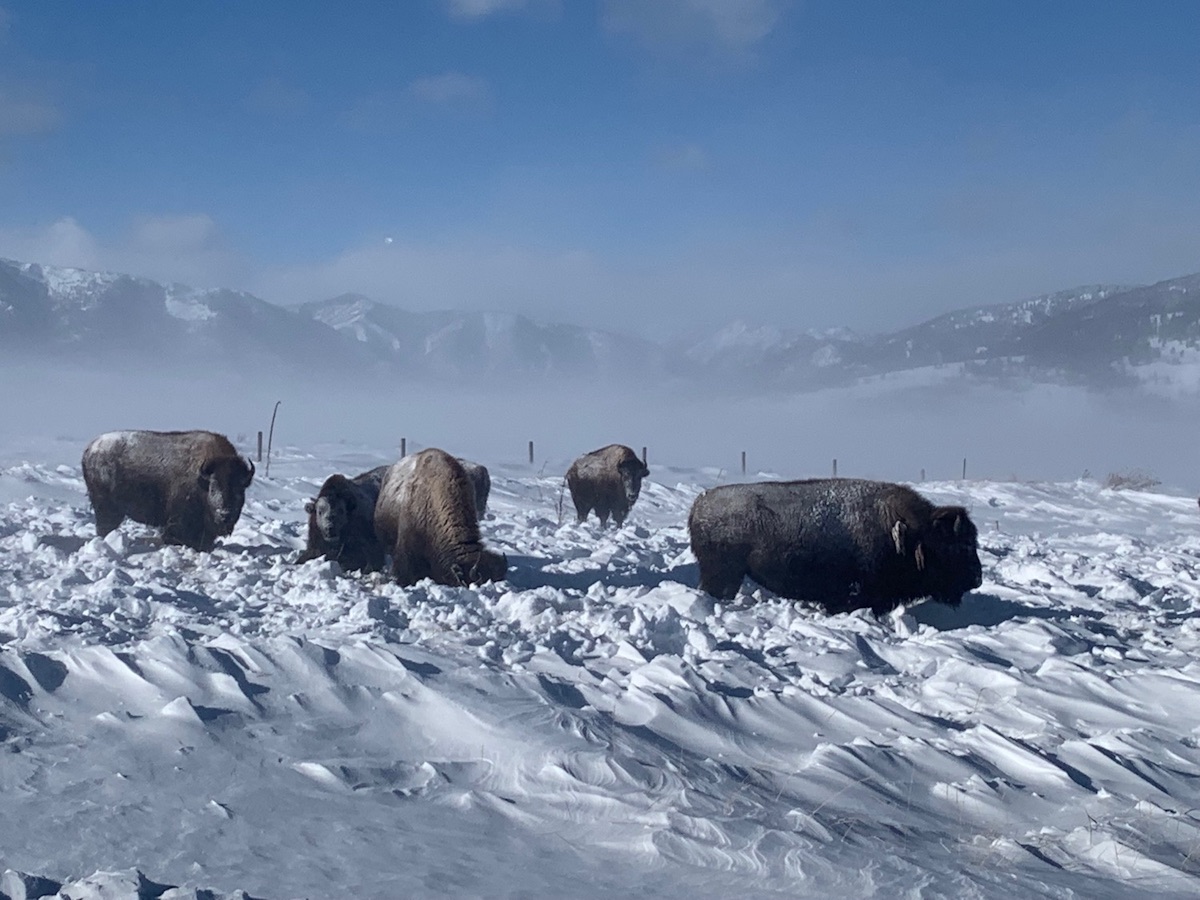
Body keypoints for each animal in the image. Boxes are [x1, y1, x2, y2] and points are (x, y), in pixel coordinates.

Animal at [81, 430, 255, 552]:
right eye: (213, 488)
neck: (202, 480)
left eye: (240, 489)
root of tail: (90, 449)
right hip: (106, 508)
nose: (225, 514)